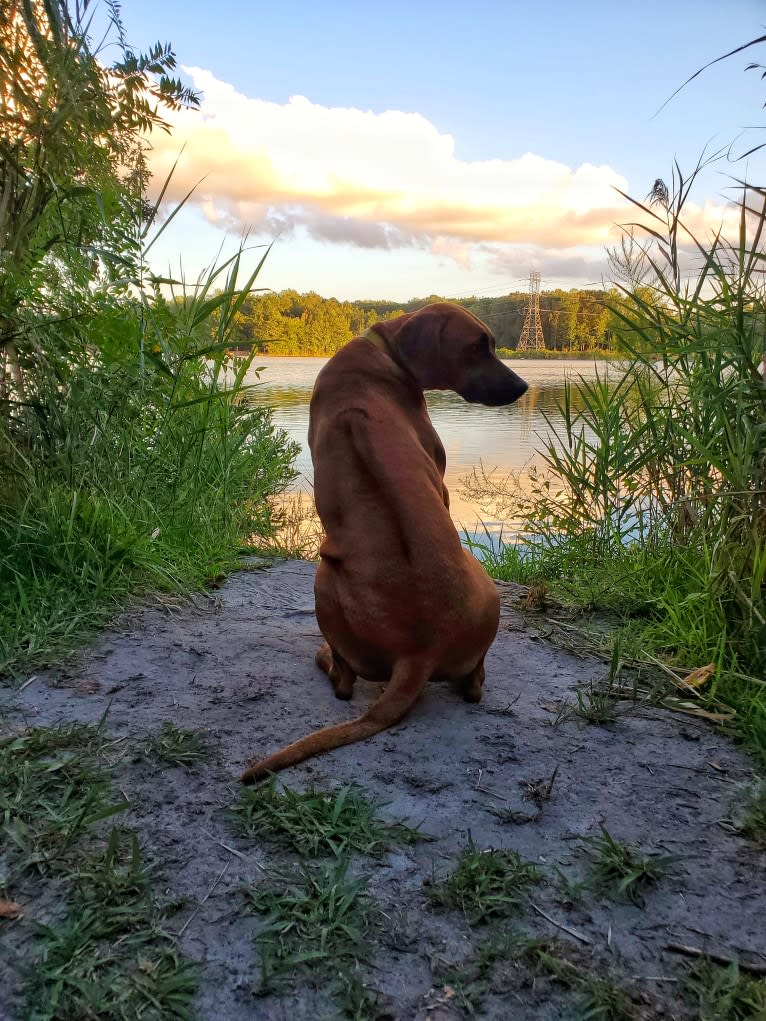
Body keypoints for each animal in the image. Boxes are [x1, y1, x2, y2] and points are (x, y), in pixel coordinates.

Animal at [243, 302, 531, 780]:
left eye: (490, 344)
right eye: (476, 348)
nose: (523, 387)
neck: (385, 354)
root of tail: (420, 652)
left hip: (324, 576)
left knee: (345, 681)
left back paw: (325, 658)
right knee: (467, 684)